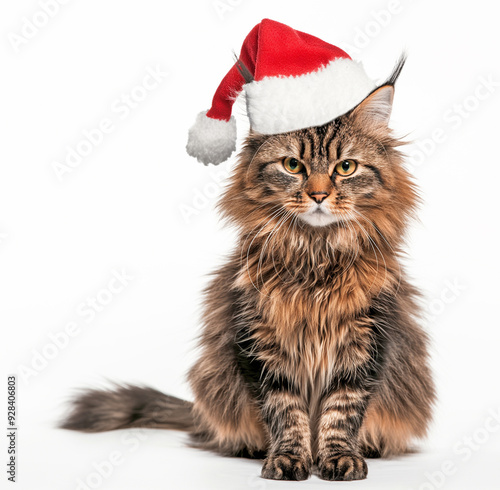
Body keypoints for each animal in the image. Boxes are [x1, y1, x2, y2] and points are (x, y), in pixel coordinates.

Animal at [61, 57, 434, 482]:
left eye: (346, 167)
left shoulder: (366, 341)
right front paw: (288, 458)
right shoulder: (259, 340)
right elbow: (286, 411)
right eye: (293, 165)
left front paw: (339, 457)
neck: (315, 258)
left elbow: (341, 410)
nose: (319, 194)